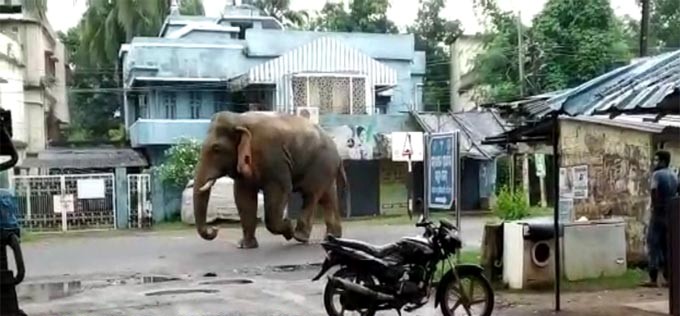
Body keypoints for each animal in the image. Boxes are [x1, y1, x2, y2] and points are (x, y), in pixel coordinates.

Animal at [194, 111, 348, 249]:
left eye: (216, 149)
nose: (215, 228)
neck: (240, 119)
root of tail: (338, 153)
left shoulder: (274, 157)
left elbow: (281, 190)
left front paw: (288, 227)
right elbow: (243, 197)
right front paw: (245, 246)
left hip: (321, 165)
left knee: (311, 194)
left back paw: (300, 236)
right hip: (327, 169)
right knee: (328, 197)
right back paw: (332, 238)